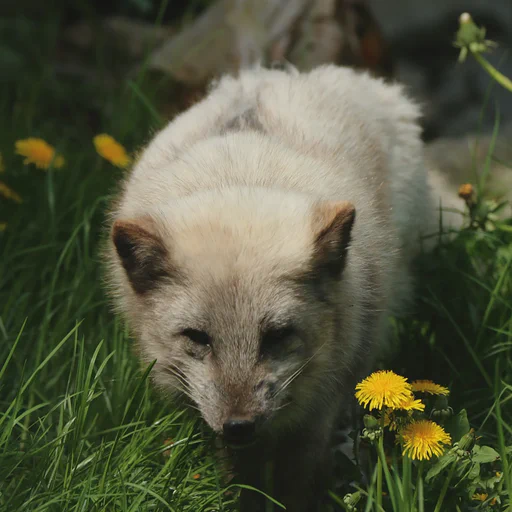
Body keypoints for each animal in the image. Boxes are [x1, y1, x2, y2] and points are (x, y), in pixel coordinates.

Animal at [107, 65, 452, 512]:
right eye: (197, 337)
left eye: (277, 336)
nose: (239, 426)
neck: (241, 179)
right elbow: (244, 483)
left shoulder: (320, 405)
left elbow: (298, 478)